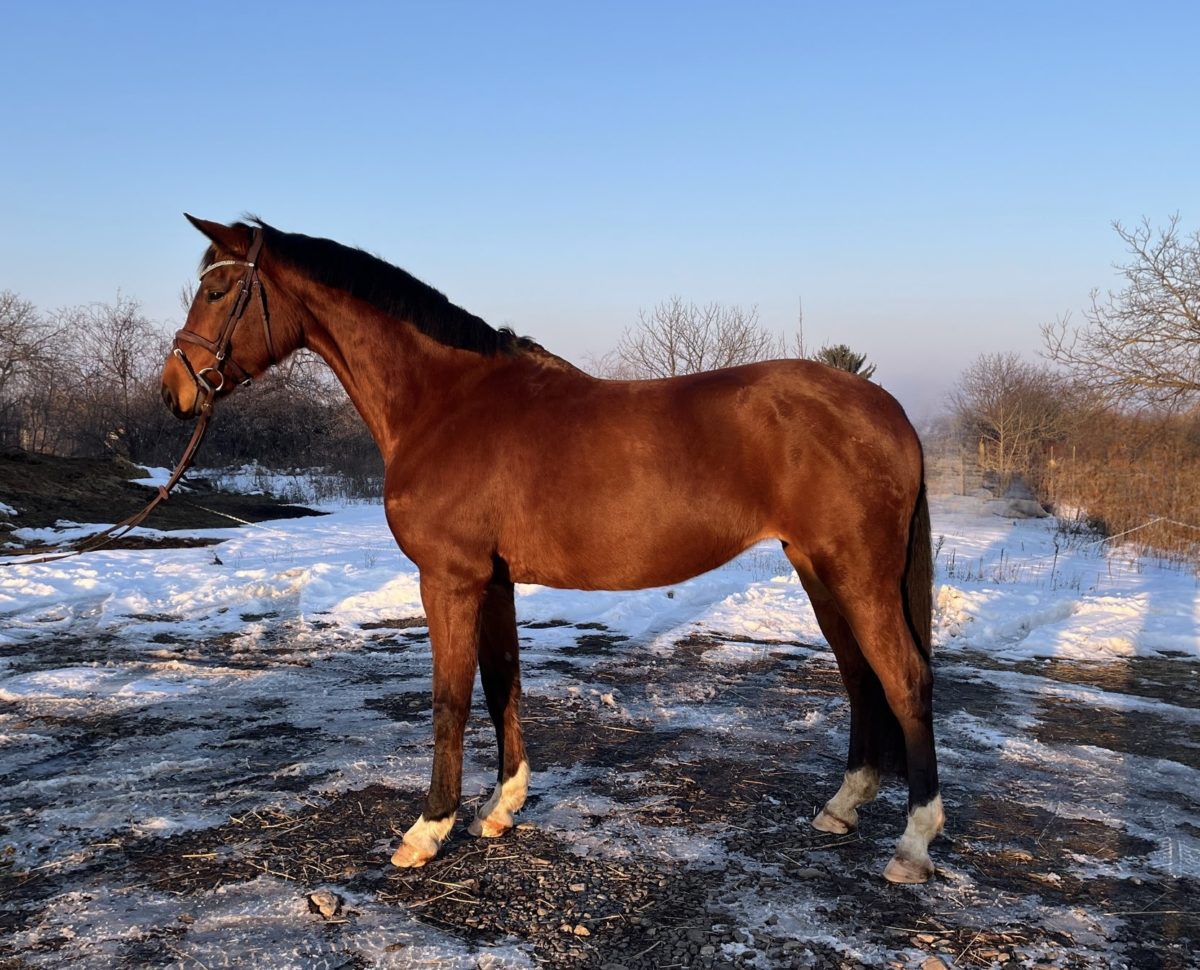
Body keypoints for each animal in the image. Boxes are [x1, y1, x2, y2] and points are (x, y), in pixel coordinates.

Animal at [161, 216, 943, 883]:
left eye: (218, 291)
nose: (174, 391)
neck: (445, 404)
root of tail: (890, 410)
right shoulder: (495, 580)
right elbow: (502, 682)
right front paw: (500, 808)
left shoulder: (449, 578)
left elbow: (450, 698)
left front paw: (427, 830)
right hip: (819, 571)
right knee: (859, 677)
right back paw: (841, 808)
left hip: (856, 573)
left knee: (905, 679)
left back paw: (912, 844)